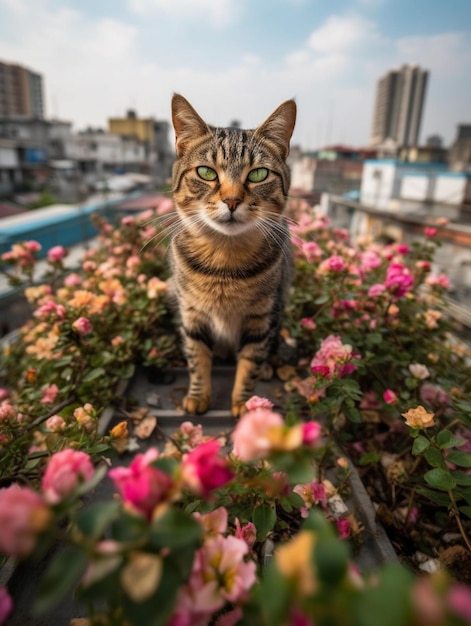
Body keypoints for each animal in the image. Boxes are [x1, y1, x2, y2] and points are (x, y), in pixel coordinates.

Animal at [169, 94, 296, 414]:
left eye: (259, 174)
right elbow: (197, 358)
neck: (224, 263)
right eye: (206, 172)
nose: (231, 200)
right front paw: (198, 394)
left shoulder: (260, 318)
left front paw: (245, 403)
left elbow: (250, 363)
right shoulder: (192, 315)